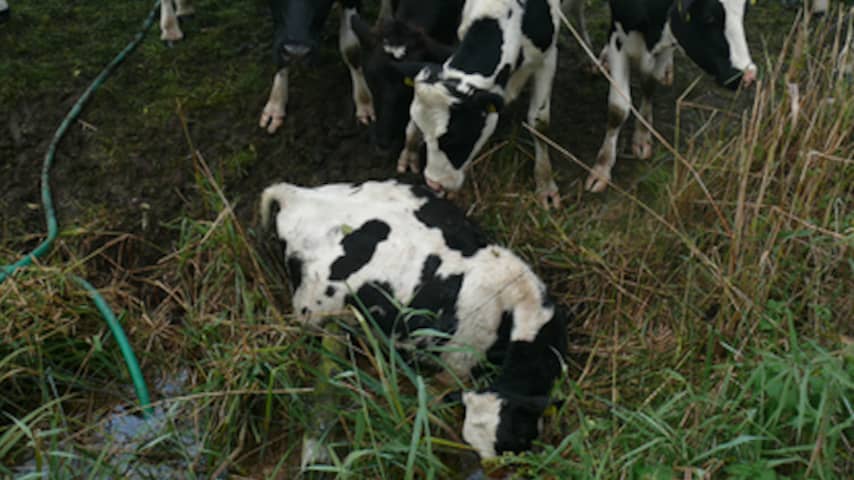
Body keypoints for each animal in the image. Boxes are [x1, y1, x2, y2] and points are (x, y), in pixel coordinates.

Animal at [584, 0, 760, 191]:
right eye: (709, 17)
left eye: (744, 12)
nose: (749, 76)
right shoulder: (618, 34)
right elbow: (618, 109)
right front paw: (602, 167)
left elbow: (649, 84)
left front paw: (642, 135)